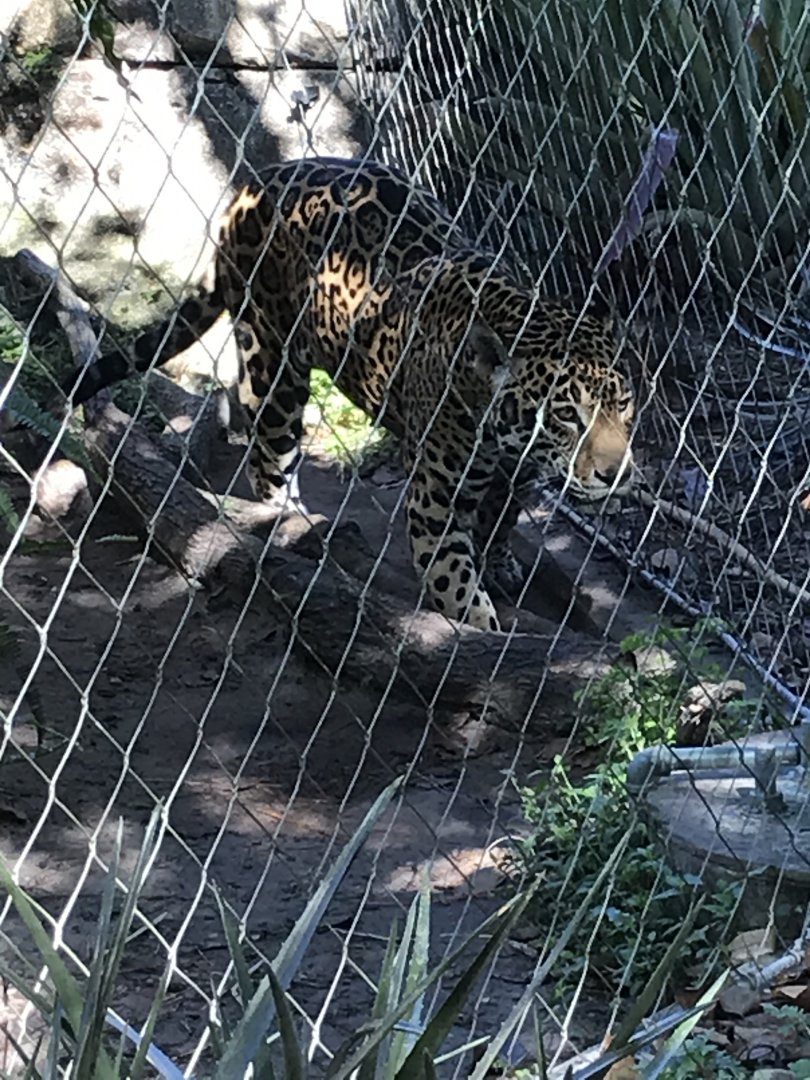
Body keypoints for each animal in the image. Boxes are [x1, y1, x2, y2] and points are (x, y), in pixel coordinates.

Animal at [62, 157, 635, 632]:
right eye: (567, 413)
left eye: (624, 406)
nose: (616, 474)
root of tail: (255, 182)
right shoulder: (434, 501)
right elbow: (453, 579)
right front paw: (483, 632)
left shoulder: (510, 478)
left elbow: (500, 518)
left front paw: (499, 562)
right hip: (272, 364)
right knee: (267, 458)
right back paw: (292, 523)